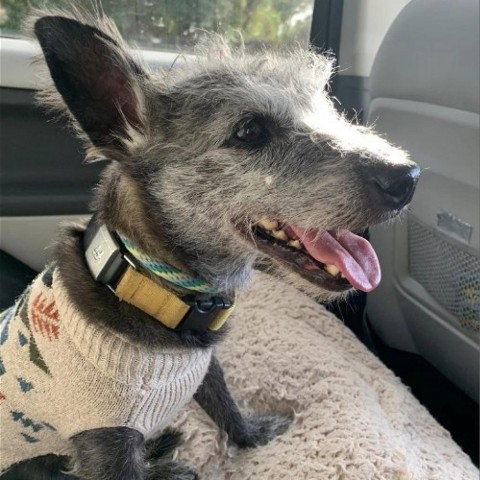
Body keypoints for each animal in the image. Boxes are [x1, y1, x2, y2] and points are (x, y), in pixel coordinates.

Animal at [0, 7, 420, 480]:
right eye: (250, 131)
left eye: (324, 107)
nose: (407, 177)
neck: (147, 283)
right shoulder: (103, 439)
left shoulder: (206, 368)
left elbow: (225, 404)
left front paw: (252, 434)